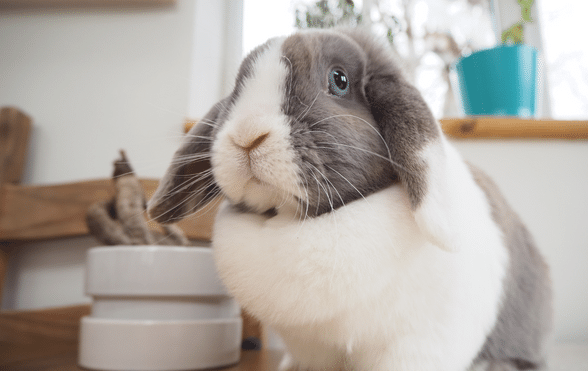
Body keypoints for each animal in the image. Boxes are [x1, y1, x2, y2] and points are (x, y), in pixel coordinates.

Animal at [147, 29, 552, 371]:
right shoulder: (312, 350)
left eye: (338, 80)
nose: (246, 135)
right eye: (237, 88)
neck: (295, 222)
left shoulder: (418, 343)